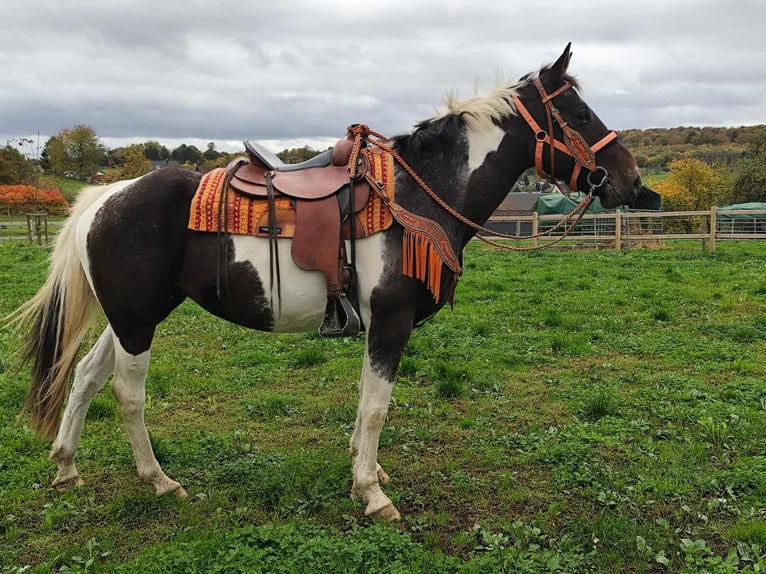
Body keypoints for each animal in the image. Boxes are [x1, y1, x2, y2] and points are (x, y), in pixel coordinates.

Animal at [11, 44, 641, 521]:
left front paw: (367, 468)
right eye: (578, 115)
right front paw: (373, 494)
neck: (417, 196)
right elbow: (377, 406)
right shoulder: (391, 321)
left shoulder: (376, 324)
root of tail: (103, 198)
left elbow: (364, 402)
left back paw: (67, 466)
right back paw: (159, 480)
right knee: (126, 391)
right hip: (138, 320)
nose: (630, 181)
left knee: (86, 376)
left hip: (129, 318)